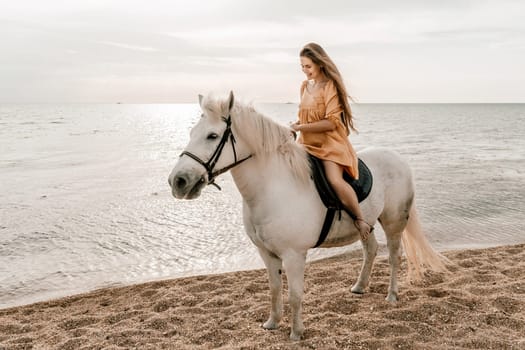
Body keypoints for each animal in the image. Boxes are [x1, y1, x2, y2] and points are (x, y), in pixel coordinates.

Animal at [168, 91, 446, 340]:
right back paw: (359, 287)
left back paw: (392, 295)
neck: (273, 188)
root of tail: (398, 159)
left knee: (394, 256)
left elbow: (295, 295)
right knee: (371, 250)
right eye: (192, 133)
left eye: (212, 136)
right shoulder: (266, 253)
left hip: (393, 222)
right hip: (365, 225)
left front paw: (296, 333)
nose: (178, 181)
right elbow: (274, 289)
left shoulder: (294, 256)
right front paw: (272, 323)